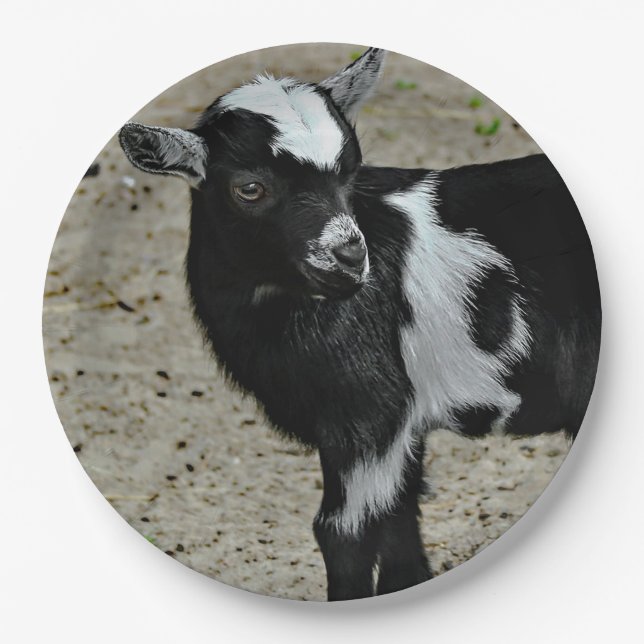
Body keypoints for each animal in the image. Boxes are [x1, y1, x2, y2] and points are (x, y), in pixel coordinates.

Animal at [119, 48, 601, 600]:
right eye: (249, 188)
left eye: (350, 170)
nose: (349, 257)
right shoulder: (397, 424)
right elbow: (399, 520)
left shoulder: (370, 413)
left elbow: (345, 529)